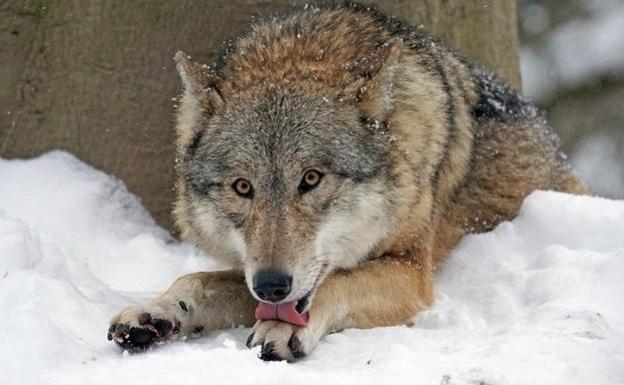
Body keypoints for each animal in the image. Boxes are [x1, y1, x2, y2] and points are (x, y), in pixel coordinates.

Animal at [105, 1, 588, 360]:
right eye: (243, 187)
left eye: (311, 179)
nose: (272, 285)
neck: (299, 53)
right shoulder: (252, 272)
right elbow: (197, 280)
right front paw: (155, 312)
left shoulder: (412, 271)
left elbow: (338, 282)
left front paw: (278, 328)